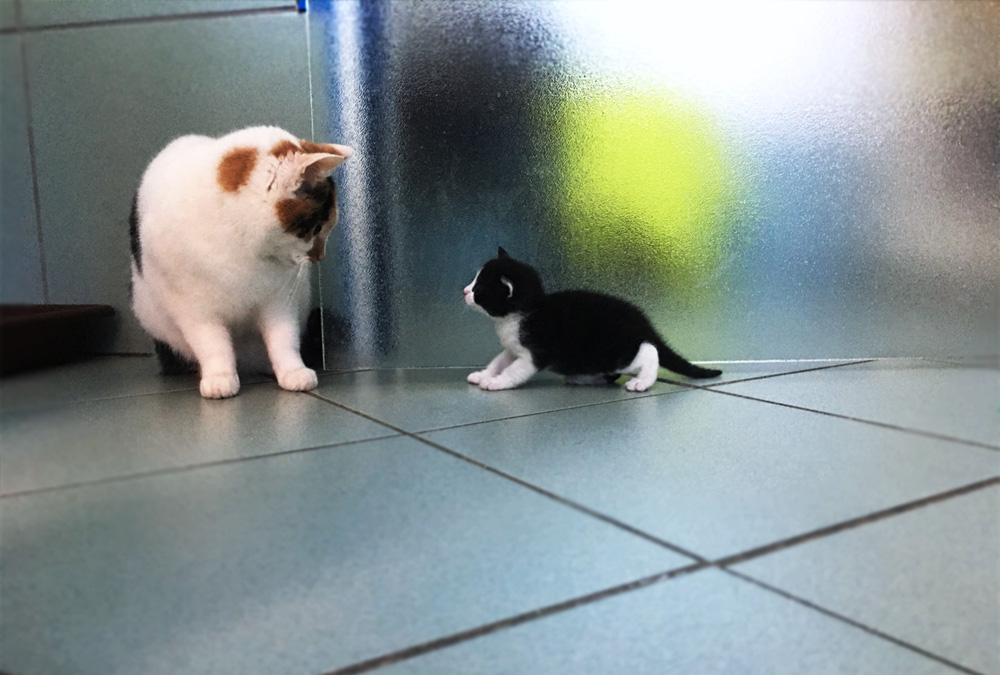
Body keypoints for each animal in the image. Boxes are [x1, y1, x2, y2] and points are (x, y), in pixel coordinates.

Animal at [131, 127, 354, 398]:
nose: (319, 256)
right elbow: (212, 345)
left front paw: (293, 371)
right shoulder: (195, 310)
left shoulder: (279, 302)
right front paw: (219, 377)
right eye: (317, 228)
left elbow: (284, 337)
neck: (242, 246)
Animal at [460, 250, 720, 394]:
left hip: (614, 352)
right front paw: (483, 375)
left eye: (479, 289)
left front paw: (495, 383)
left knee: (649, 352)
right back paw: (583, 378)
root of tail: (643, 323)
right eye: (474, 281)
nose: (464, 291)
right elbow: (499, 361)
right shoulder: (513, 348)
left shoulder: (534, 354)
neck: (523, 313)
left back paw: (642, 381)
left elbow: (514, 371)